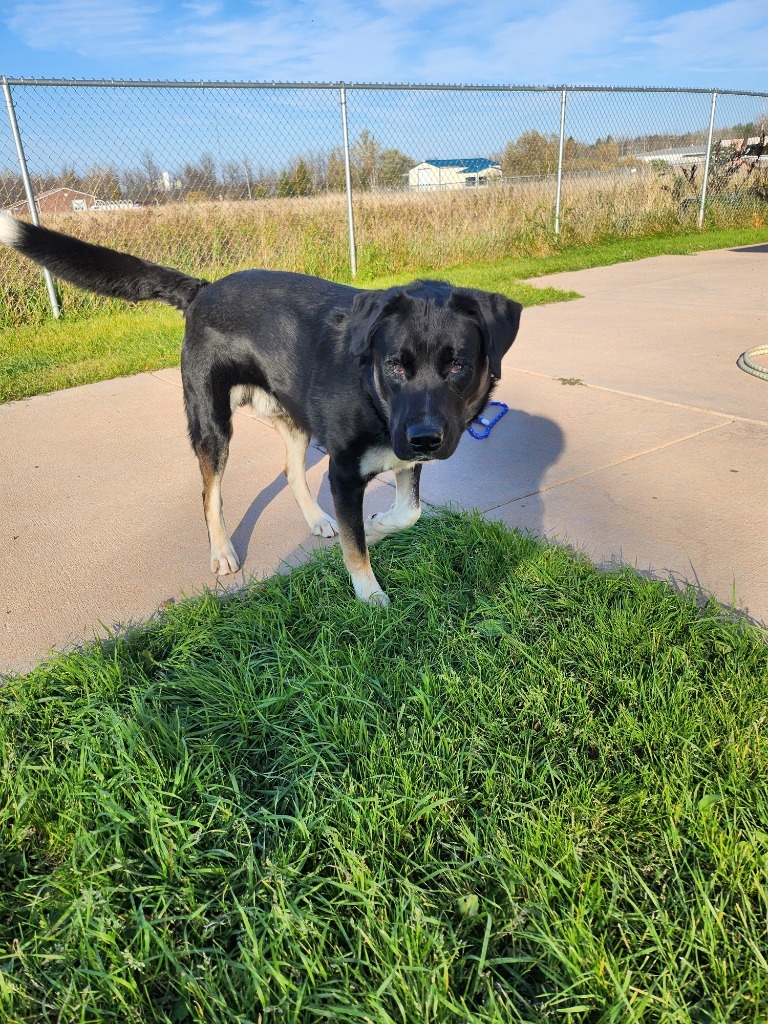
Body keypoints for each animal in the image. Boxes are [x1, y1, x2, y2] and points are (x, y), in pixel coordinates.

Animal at [1, 216, 524, 598]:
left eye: (457, 366)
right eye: (395, 364)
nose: (424, 438)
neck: (373, 393)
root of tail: (202, 289)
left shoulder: (400, 459)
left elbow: (406, 513)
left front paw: (376, 528)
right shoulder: (345, 470)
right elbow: (357, 546)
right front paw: (368, 592)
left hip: (292, 417)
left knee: (291, 471)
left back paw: (318, 520)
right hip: (212, 424)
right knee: (210, 495)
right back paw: (222, 551)